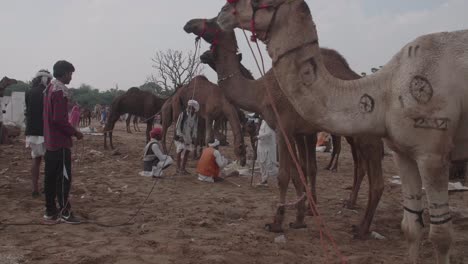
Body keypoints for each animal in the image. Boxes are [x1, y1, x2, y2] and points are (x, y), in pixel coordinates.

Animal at [183, 18, 384, 237]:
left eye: (211, 22)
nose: (189, 24)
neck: (261, 91)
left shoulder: (284, 127)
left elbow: (285, 175)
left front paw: (277, 222)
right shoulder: (296, 131)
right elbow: (299, 173)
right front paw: (299, 219)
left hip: (366, 134)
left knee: (375, 180)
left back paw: (361, 228)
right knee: (366, 170)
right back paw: (355, 212)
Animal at [218, 0, 468, 262]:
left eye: (261, 3)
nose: (222, 12)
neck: (386, 91)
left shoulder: (432, 154)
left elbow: (441, 236)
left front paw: (284, 221)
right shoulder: (403, 153)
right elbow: (411, 227)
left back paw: (360, 223)